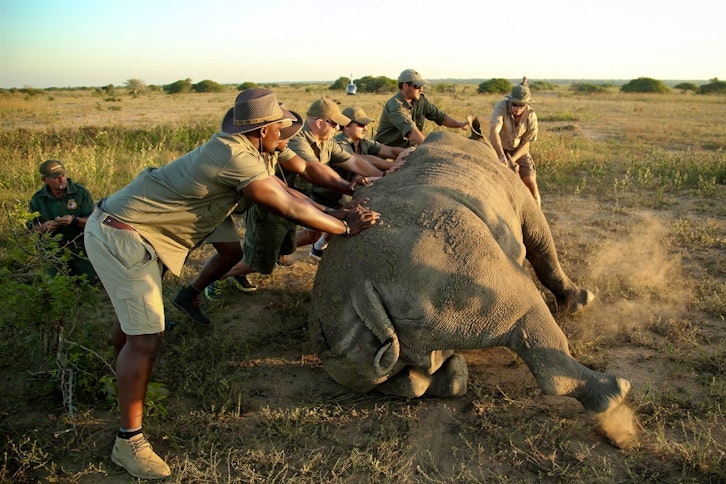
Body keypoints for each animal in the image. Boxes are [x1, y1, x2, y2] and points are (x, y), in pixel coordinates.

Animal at [309, 131, 632, 434]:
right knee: (521, 301)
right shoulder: (524, 202)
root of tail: (361, 288)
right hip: (445, 262)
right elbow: (545, 251)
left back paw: (451, 376)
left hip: (343, 338)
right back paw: (616, 393)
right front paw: (580, 301)